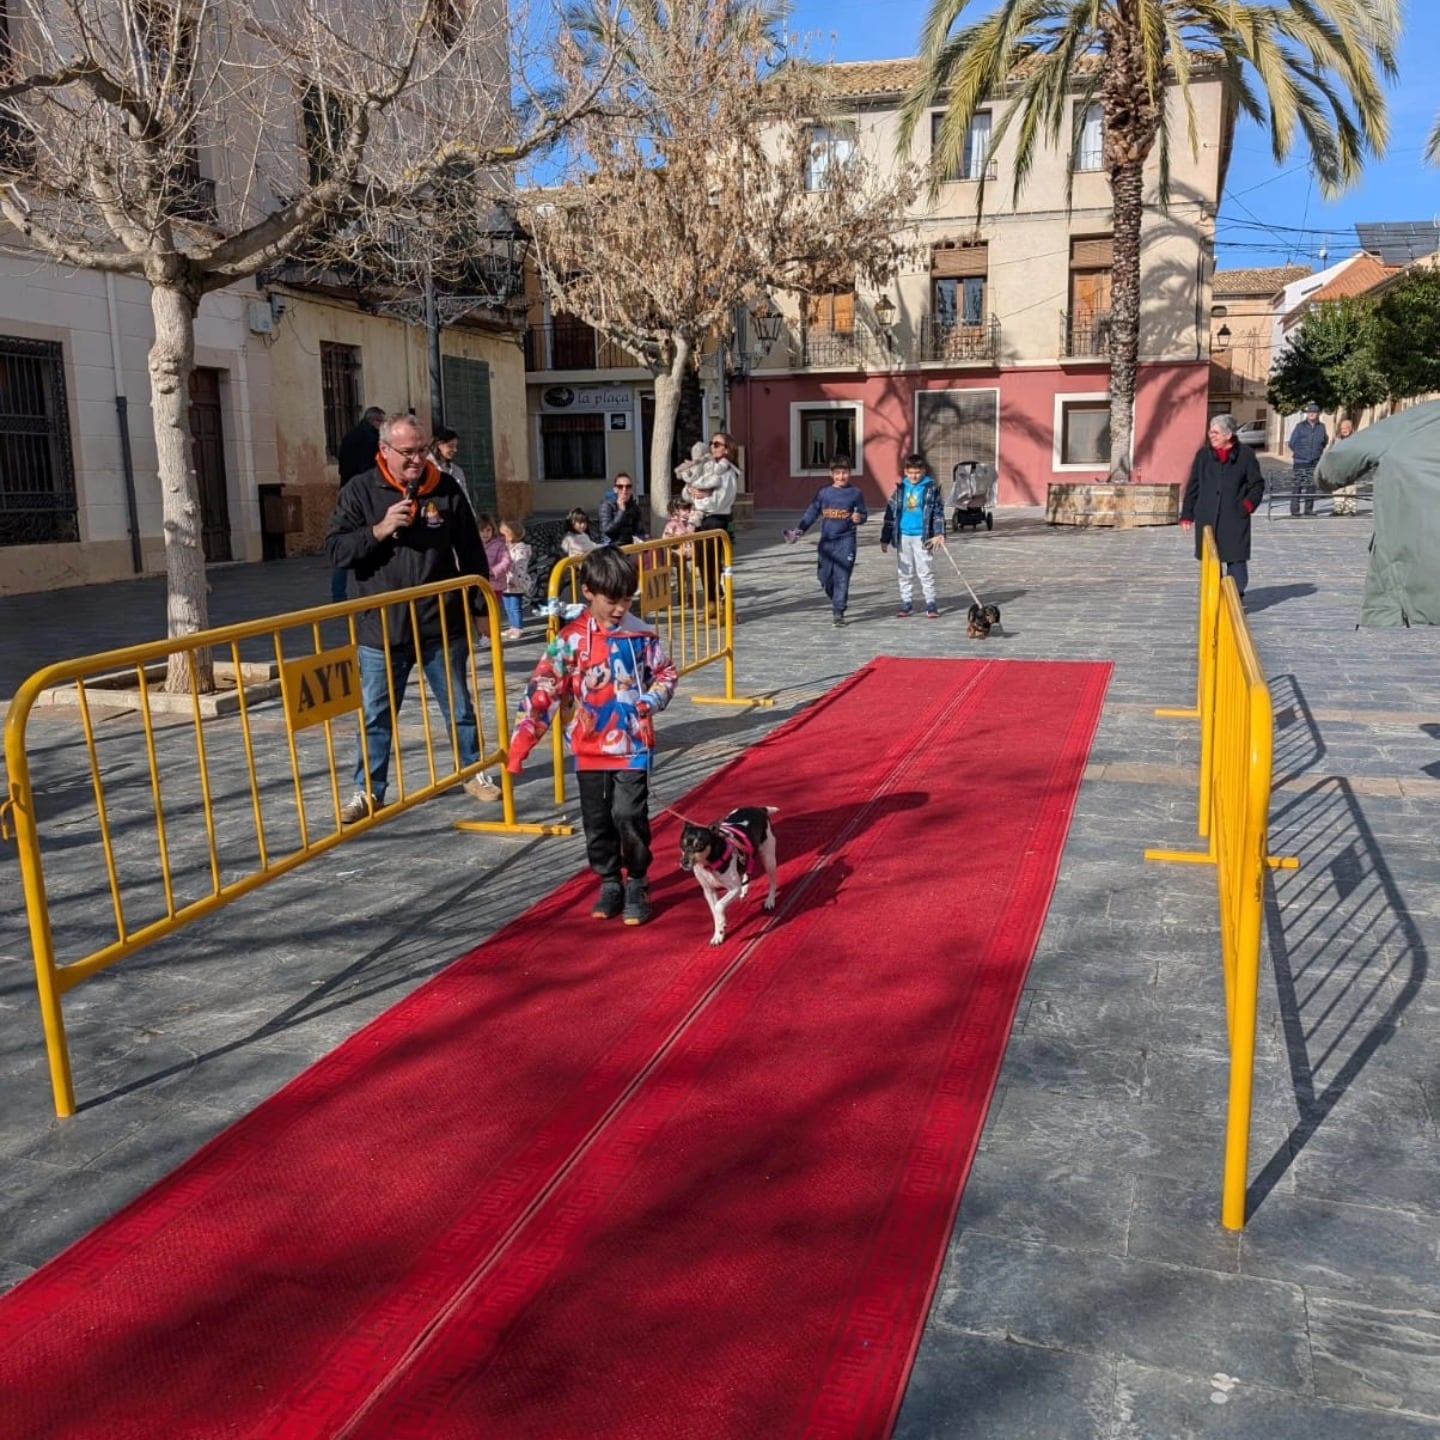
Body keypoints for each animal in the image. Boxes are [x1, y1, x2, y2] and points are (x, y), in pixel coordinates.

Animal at [679, 812, 783, 944]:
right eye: (682, 844)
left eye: (699, 845)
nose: (684, 862)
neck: (709, 865)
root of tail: (760, 810)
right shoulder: (709, 891)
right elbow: (715, 912)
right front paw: (718, 933)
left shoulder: (734, 889)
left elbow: (719, 906)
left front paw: (722, 922)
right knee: (747, 869)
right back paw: (745, 889)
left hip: (768, 859)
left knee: (773, 881)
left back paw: (770, 900)